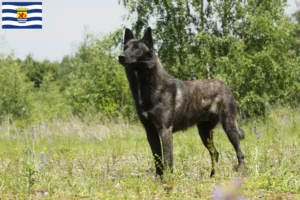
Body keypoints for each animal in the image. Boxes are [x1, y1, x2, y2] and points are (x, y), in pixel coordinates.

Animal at [118, 27, 245, 178]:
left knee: (239, 152)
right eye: (125, 47)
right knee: (215, 153)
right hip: (204, 132)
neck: (147, 87)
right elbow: (157, 159)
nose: (121, 56)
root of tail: (224, 85)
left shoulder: (165, 130)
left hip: (229, 126)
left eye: (137, 48)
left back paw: (242, 172)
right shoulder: (151, 132)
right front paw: (159, 179)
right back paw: (212, 176)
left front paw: (168, 180)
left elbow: (167, 160)